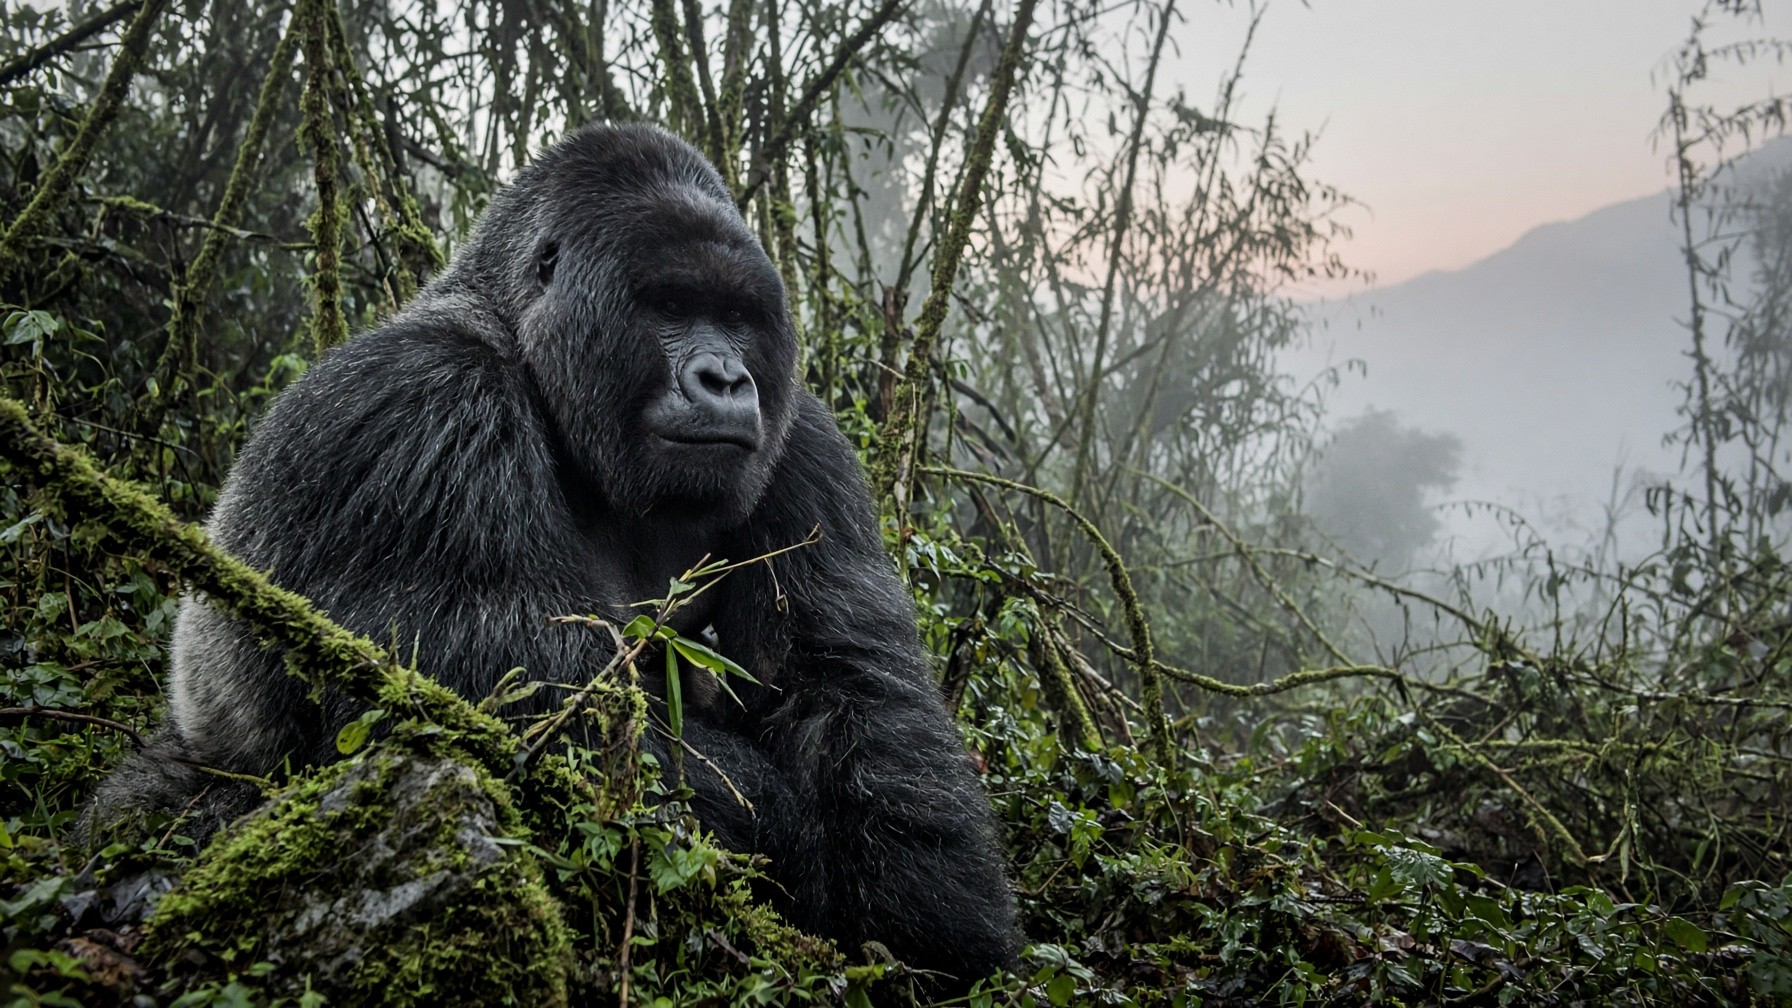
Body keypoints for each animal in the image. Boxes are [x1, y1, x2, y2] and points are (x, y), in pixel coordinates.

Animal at [88, 122, 1020, 984]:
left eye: (739, 319)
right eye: (671, 306)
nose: (726, 379)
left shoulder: (807, 449)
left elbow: (850, 692)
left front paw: (935, 930)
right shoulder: (422, 405)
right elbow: (530, 704)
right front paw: (783, 836)